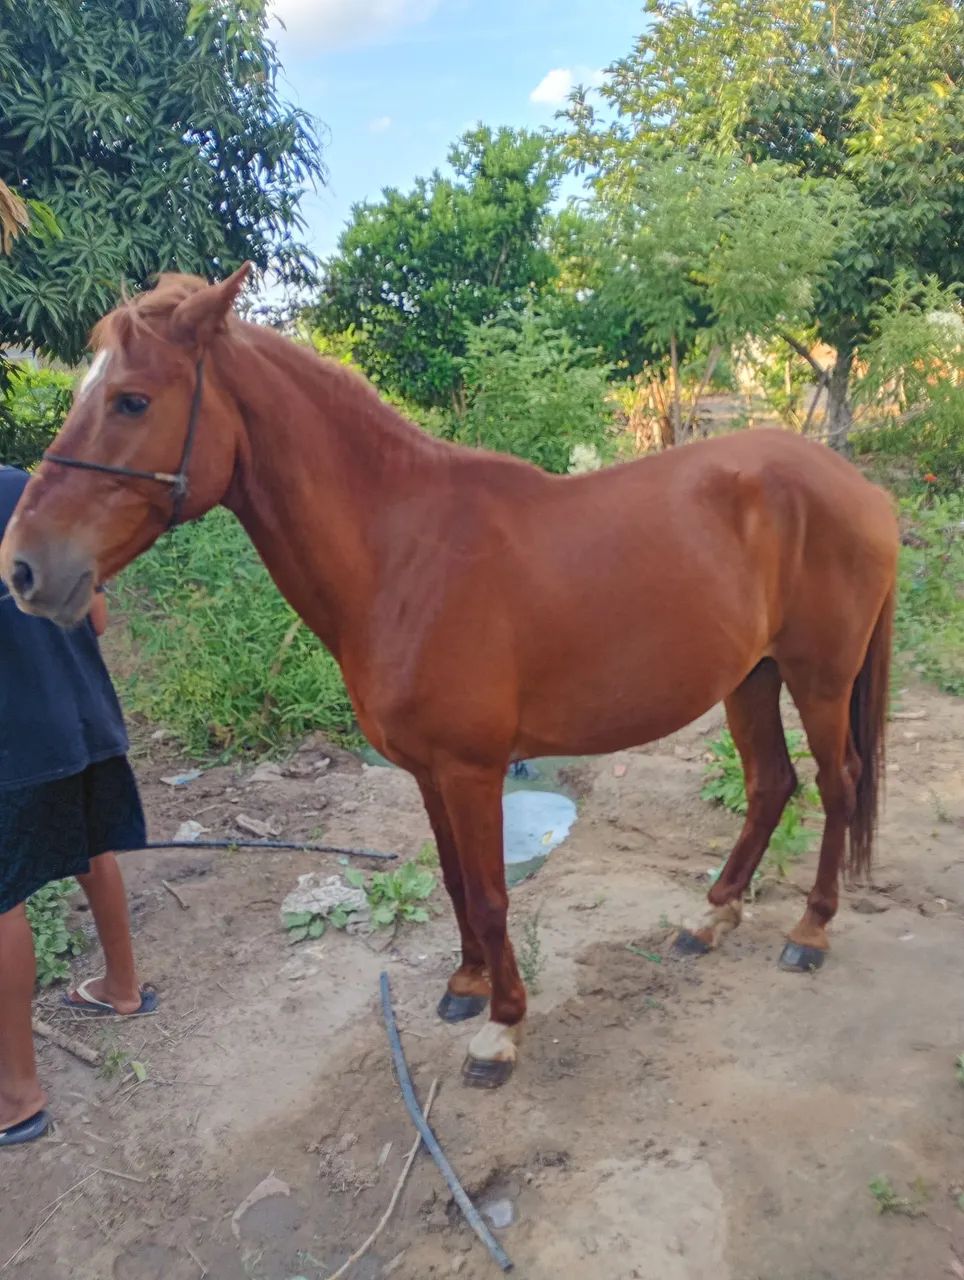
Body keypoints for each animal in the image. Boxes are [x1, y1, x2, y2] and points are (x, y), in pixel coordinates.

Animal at [0, 264, 899, 1088]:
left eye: (132, 402)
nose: (24, 568)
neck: (402, 553)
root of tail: (862, 490)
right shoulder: (427, 770)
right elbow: (455, 880)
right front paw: (466, 985)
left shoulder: (473, 769)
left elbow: (495, 893)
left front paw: (502, 1028)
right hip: (751, 676)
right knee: (772, 783)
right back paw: (711, 919)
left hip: (819, 679)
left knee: (839, 782)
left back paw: (810, 931)